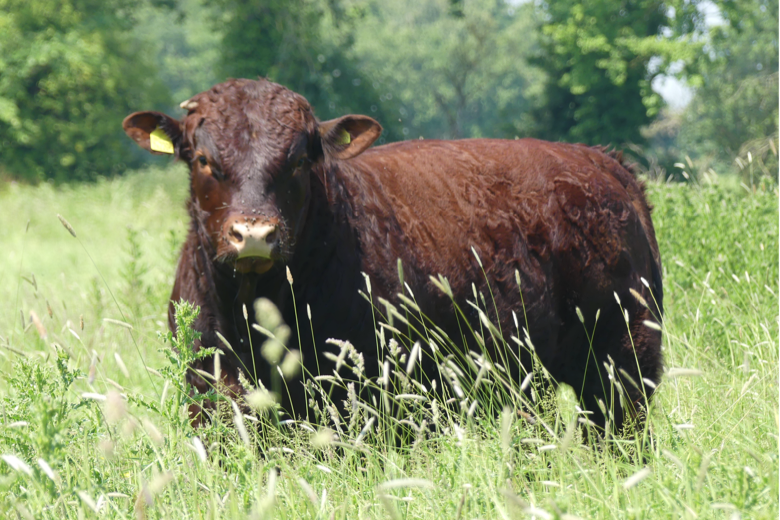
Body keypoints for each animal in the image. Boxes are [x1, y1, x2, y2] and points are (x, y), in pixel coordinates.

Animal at [123, 77, 664, 432]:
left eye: (298, 161)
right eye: (203, 159)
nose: (253, 234)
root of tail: (602, 161)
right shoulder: (209, 395)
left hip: (625, 360)